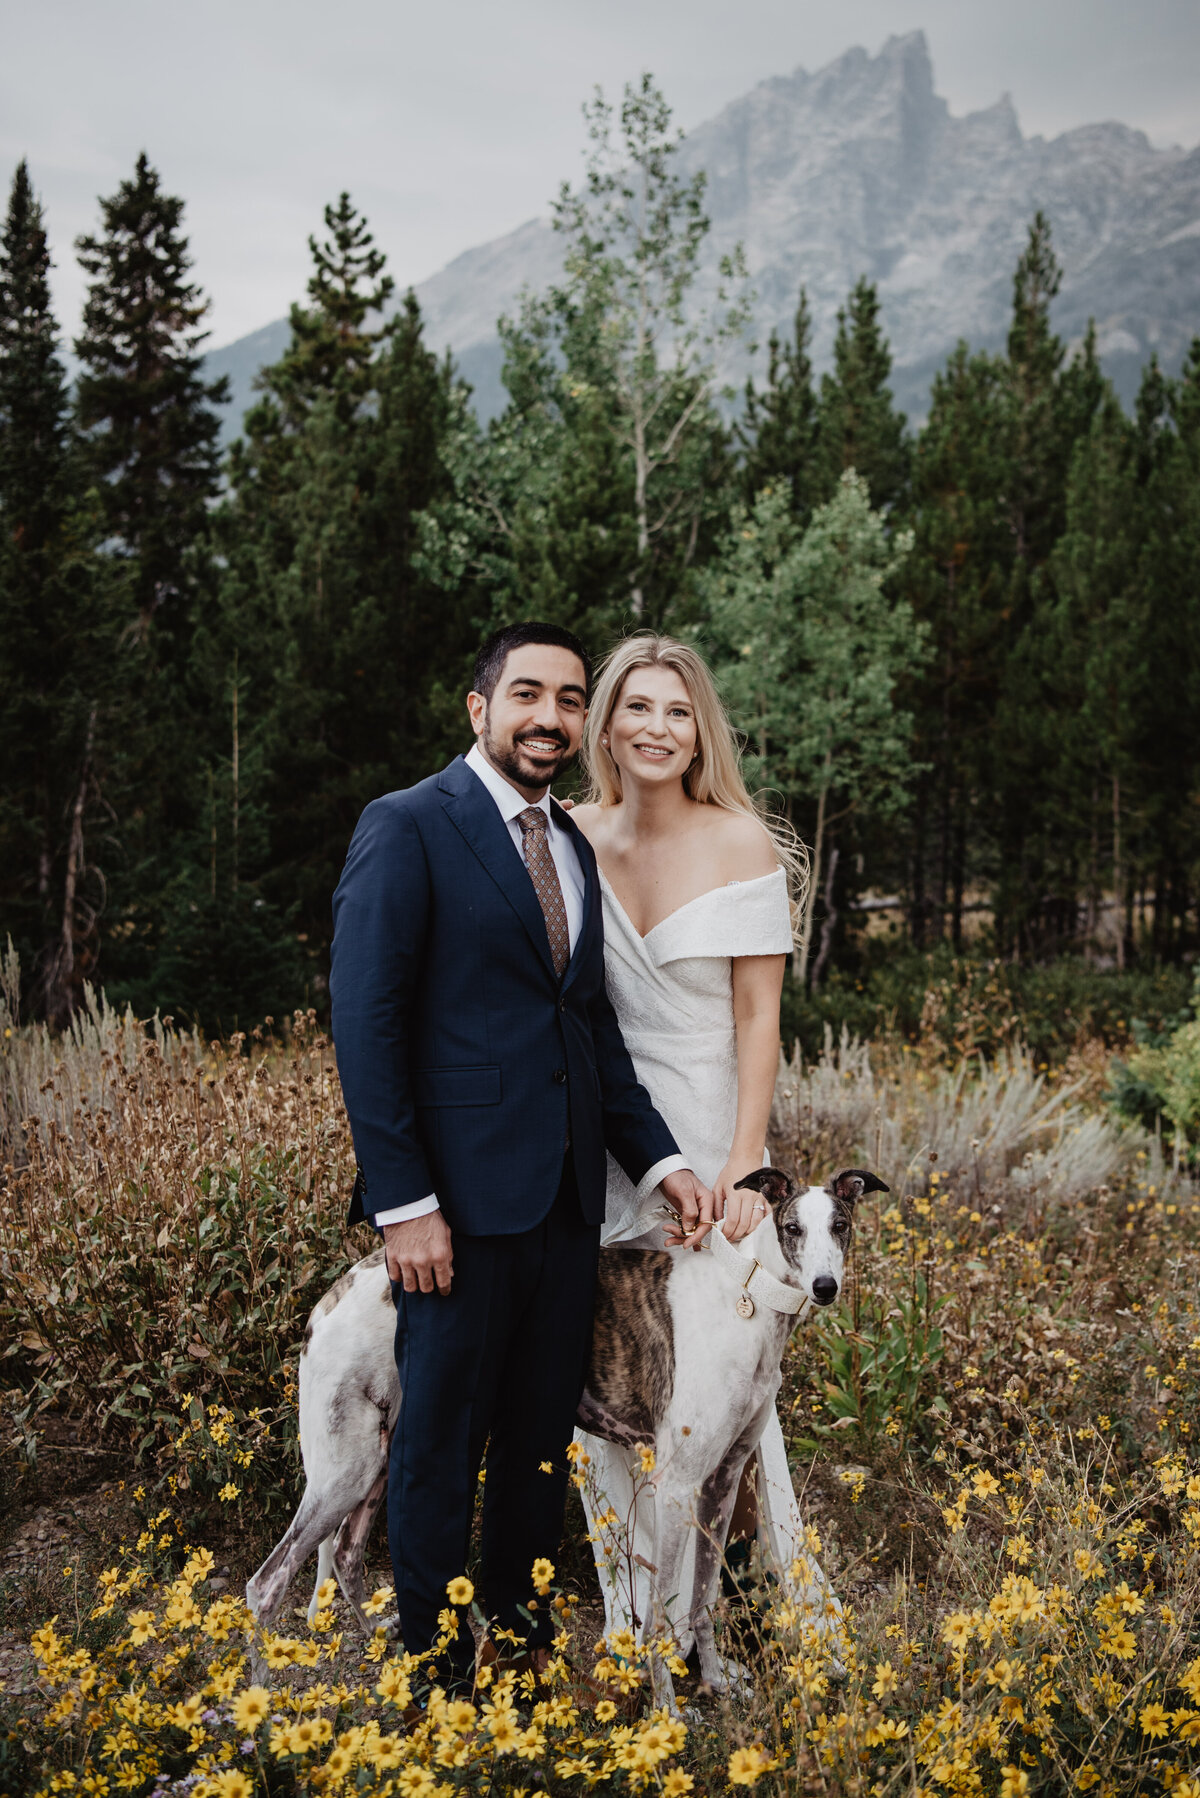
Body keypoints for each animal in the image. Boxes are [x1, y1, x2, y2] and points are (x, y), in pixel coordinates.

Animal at [244, 1165, 888, 1697]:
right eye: (791, 1228)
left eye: (841, 1225)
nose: (825, 1288)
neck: (747, 1294)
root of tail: (333, 1296)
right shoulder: (676, 1486)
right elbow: (660, 1615)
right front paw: (668, 1714)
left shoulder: (721, 1481)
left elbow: (703, 1599)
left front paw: (717, 1686)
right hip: (345, 1469)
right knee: (267, 1583)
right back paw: (262, 1708)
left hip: (376, 1460)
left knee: (346, 1558)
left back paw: (393, 1655)